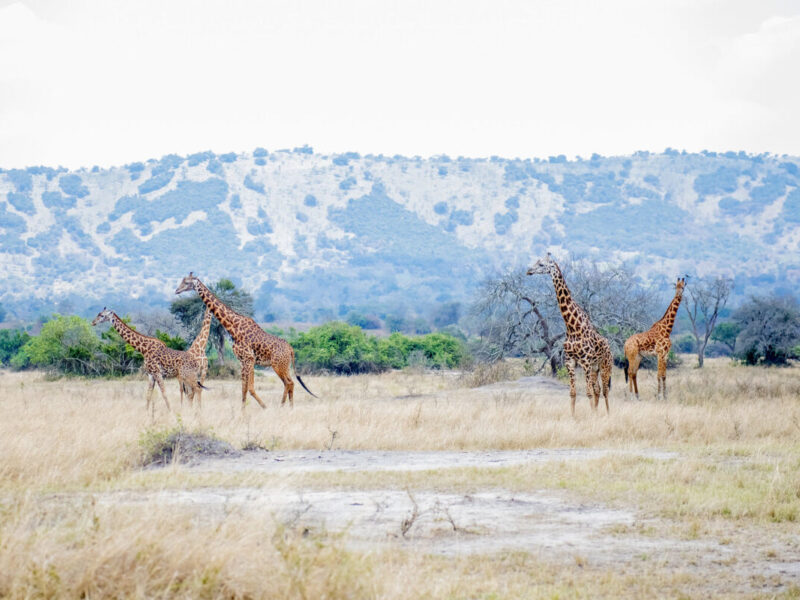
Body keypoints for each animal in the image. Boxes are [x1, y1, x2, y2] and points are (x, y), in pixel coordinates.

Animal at [173, 274, 318, 410]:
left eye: (186, 282)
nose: (176, 290)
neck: (233, 326)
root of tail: (290, 349)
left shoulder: (249, 359)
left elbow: (250, 388)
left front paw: (263, 407)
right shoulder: (243, 361)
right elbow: (244, 388)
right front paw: (243, 412)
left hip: (278, 365)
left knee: (288, 383)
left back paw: (281, 407)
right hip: (284, 365)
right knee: (290, 383)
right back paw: (289, 408)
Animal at [524, 254, 612, 418]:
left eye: (541, 264)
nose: (529, 271)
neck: (572, 327)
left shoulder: (585, 362)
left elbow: (588, 393)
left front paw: (591, 417)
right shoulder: (570, 361)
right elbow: (573, 393)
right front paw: (573, 417)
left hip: (605, 366)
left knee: (604, 390)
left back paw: (608, 414)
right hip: (595, 368)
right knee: (597, 389)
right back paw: (597, 412)